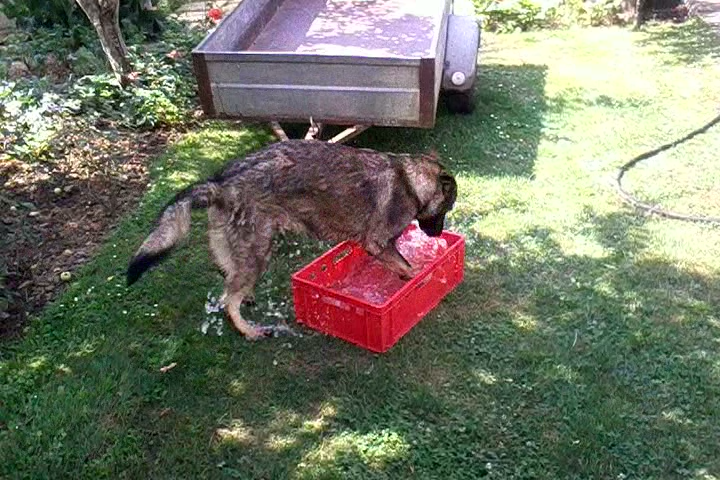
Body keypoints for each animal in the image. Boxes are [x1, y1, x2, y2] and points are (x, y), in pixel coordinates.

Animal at [126, 140, 456, 338]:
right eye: (446, 209)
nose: (437, 234)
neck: (411, 180)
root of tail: (220, 185)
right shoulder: (377, 242)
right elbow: (407, 265)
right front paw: (417, 279)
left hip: (241, 249)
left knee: (229, 279)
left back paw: (247, 297)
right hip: (258, 252)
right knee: (227, 298)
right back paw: (248, 330)